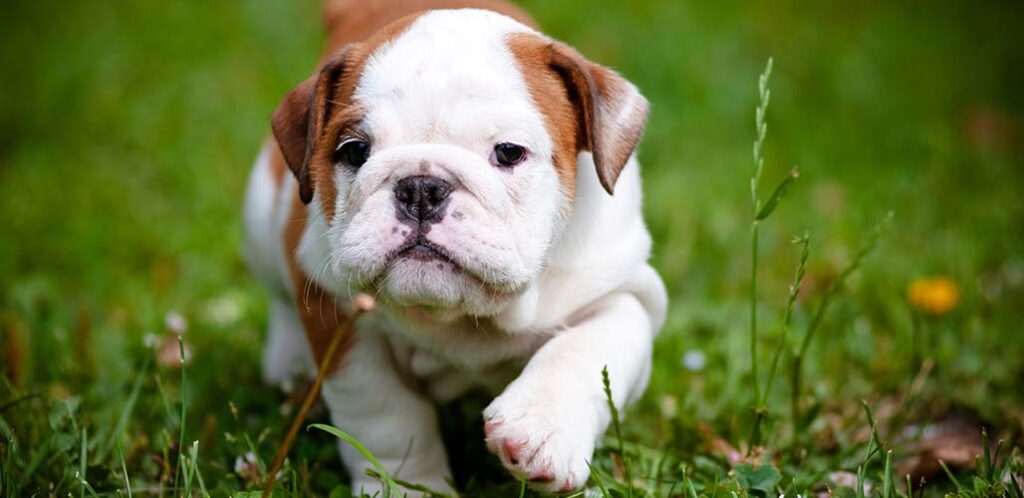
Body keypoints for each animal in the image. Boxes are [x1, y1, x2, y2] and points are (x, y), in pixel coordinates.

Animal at [243, 0, 667, 491]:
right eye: (353, 151)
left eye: (509, 152)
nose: (420, 188)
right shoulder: (342, 319)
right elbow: (384, 415)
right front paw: (408, 487)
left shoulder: (625, 292)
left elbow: (587, 348)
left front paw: (541, 430)